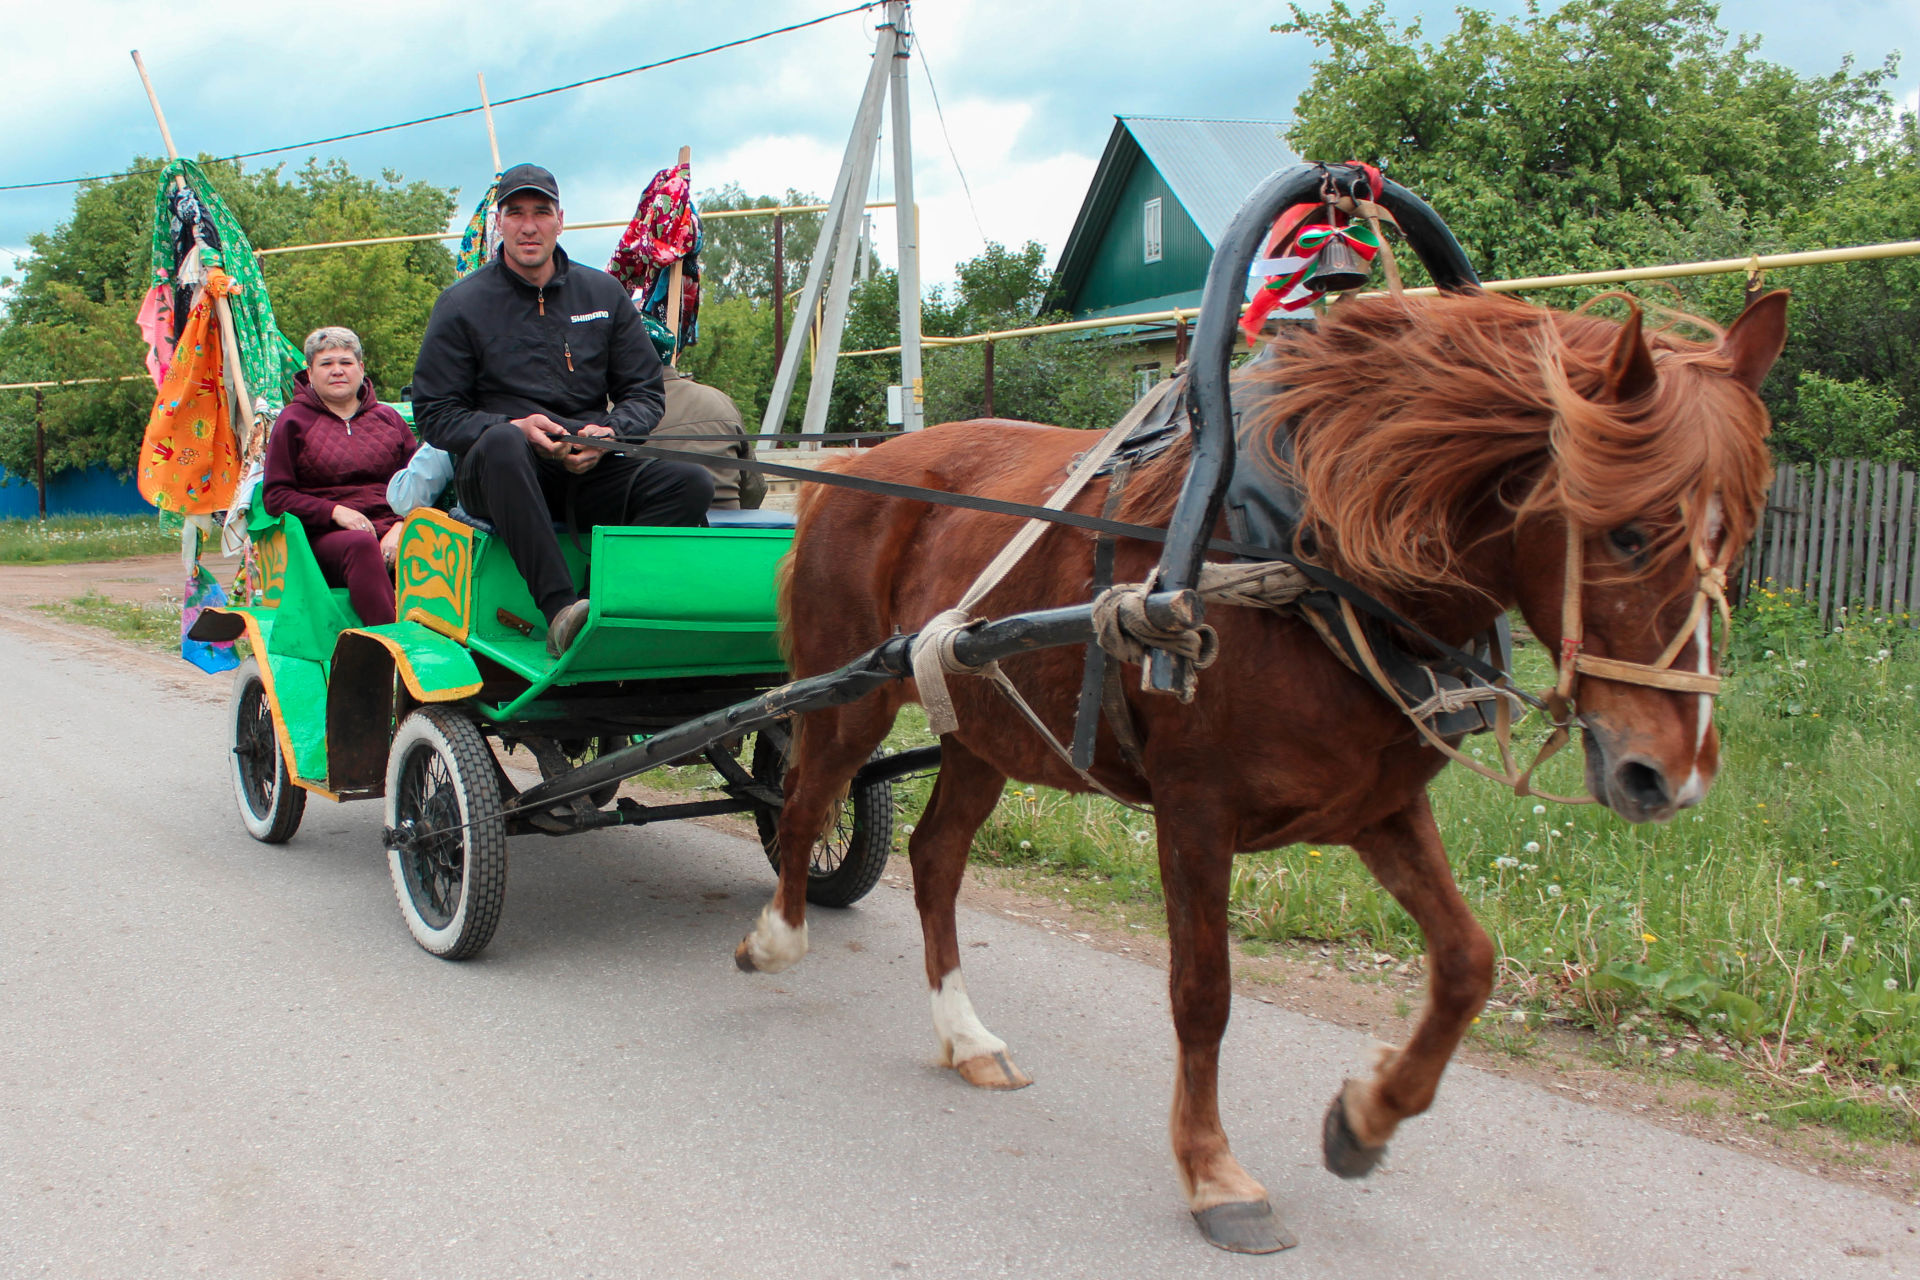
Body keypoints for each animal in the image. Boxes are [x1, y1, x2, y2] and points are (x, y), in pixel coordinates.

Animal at [729, 287, 1781, 1251]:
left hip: (984, 727)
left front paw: (1367, 1117)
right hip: (852, 697)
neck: (1308, 564)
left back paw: (966, 1037)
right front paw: (1213, 1173)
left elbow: (1468, 962)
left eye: (1737, 532)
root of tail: (852, 470)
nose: (1670, 775)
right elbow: (1204, 993)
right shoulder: (1197, 811)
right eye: (1628, 532)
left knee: (936, 856)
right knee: (805, 803)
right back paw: (777, 937)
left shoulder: (1377, 807)